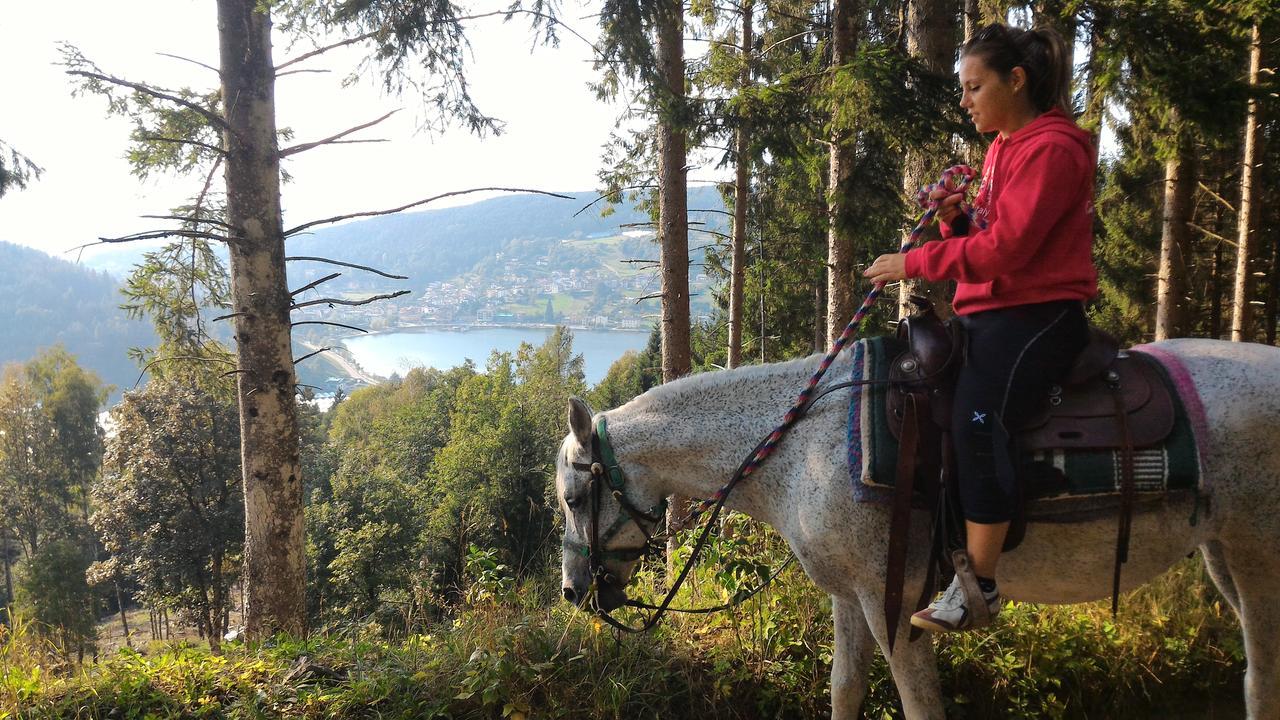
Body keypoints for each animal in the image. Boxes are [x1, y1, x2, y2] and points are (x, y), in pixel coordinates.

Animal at [555, 338, 1280, 717]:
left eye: (573, 497)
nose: (572, 593)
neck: (802, 444)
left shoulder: (894, 599)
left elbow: (919, 703)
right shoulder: (849, 597)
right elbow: (845, 688)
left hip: (1258, 553)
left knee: (1262, 674)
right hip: (1220, 553)